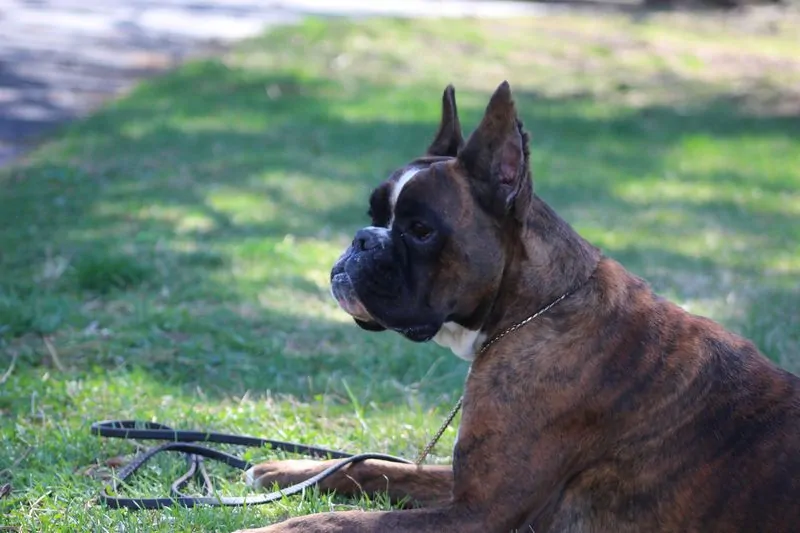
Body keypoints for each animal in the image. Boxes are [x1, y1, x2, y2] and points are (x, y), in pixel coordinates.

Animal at [236, 81, 800, 528]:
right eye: (374, 213)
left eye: (420, 230)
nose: (362, 240)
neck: (535, 309)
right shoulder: (463, 486)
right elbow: (375, 467)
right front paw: (285, 470)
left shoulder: (479, 512)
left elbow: (336, 521)